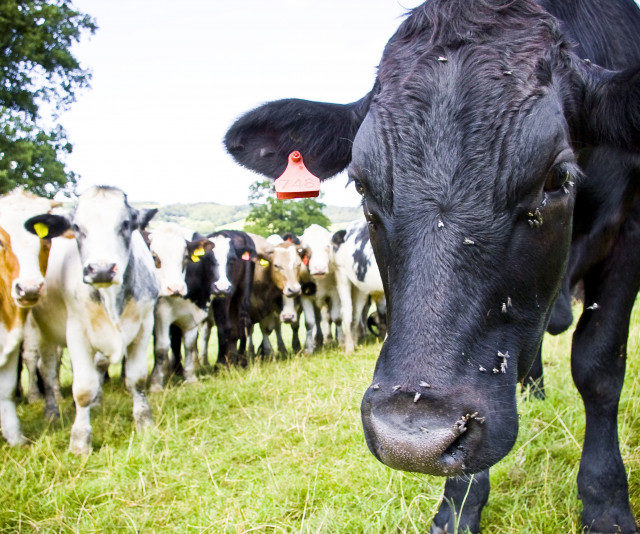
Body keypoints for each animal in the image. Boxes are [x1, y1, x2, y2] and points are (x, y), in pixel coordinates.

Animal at [25, 186, 160, 454]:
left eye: (126, 223)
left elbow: (137, 379)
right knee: (46, 369)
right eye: (77, 227)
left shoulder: (144, 325)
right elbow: (83, 389)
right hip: (42, 331)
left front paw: (144, 423)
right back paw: (51, 411)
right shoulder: (76, 332)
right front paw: (80, 441)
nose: (101, 269)